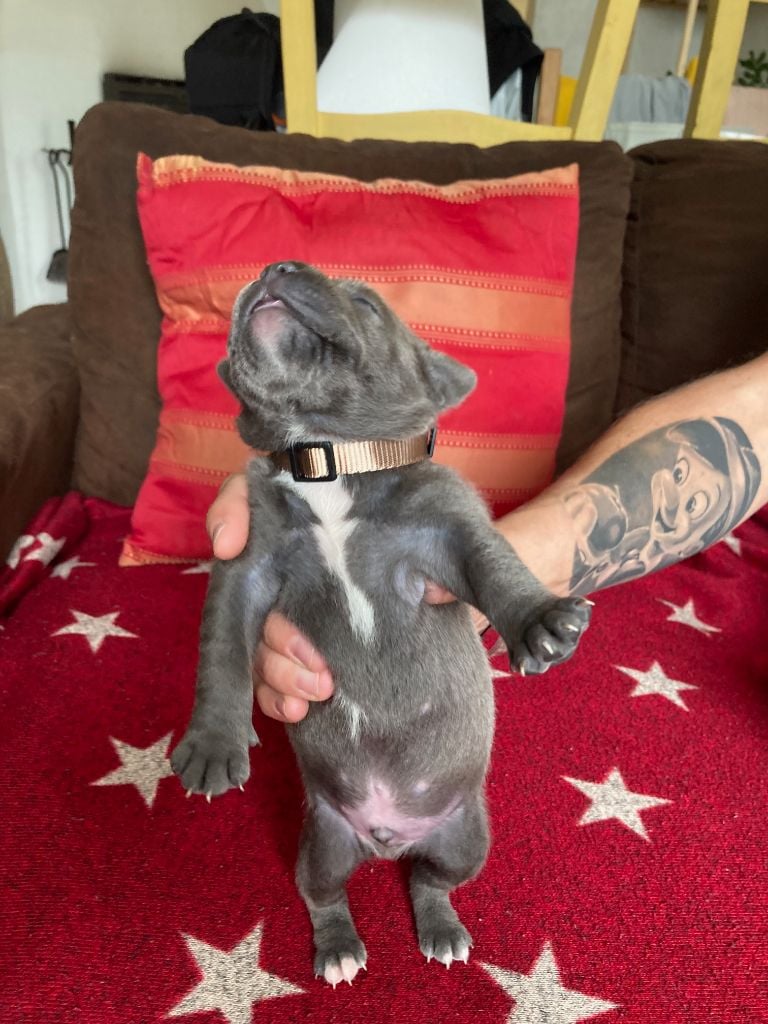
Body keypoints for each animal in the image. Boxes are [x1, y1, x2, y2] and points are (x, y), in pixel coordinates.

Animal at [171, 261, 591, 986]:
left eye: (366, 303)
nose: (276, 266)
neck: (329, 461)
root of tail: (388, 842)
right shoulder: (243, 565)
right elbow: (221, 651)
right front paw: (214, 742)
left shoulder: (449, 530)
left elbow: (494, 564)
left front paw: (538, 620)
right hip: (323, 839)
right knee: (323, 894)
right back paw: (339, 949)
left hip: (465, 840)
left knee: (431, 881)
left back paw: (442, 930)